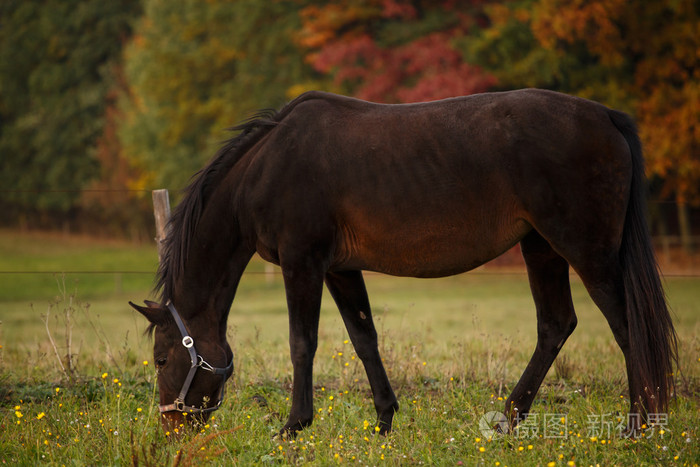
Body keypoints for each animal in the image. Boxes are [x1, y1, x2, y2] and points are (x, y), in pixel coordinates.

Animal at [129, 88, 676, 438]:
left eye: (161, 359)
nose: (170, 429)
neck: (265, 168)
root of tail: (605, 116)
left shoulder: (302, 262)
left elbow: (303, 343)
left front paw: (294, 426)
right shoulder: (339, 268)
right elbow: (364, 339)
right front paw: (384, 420)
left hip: (587, 253)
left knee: (627, 328)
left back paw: (637, 427)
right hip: (540, 247)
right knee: (556, 325)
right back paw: (509, 418)